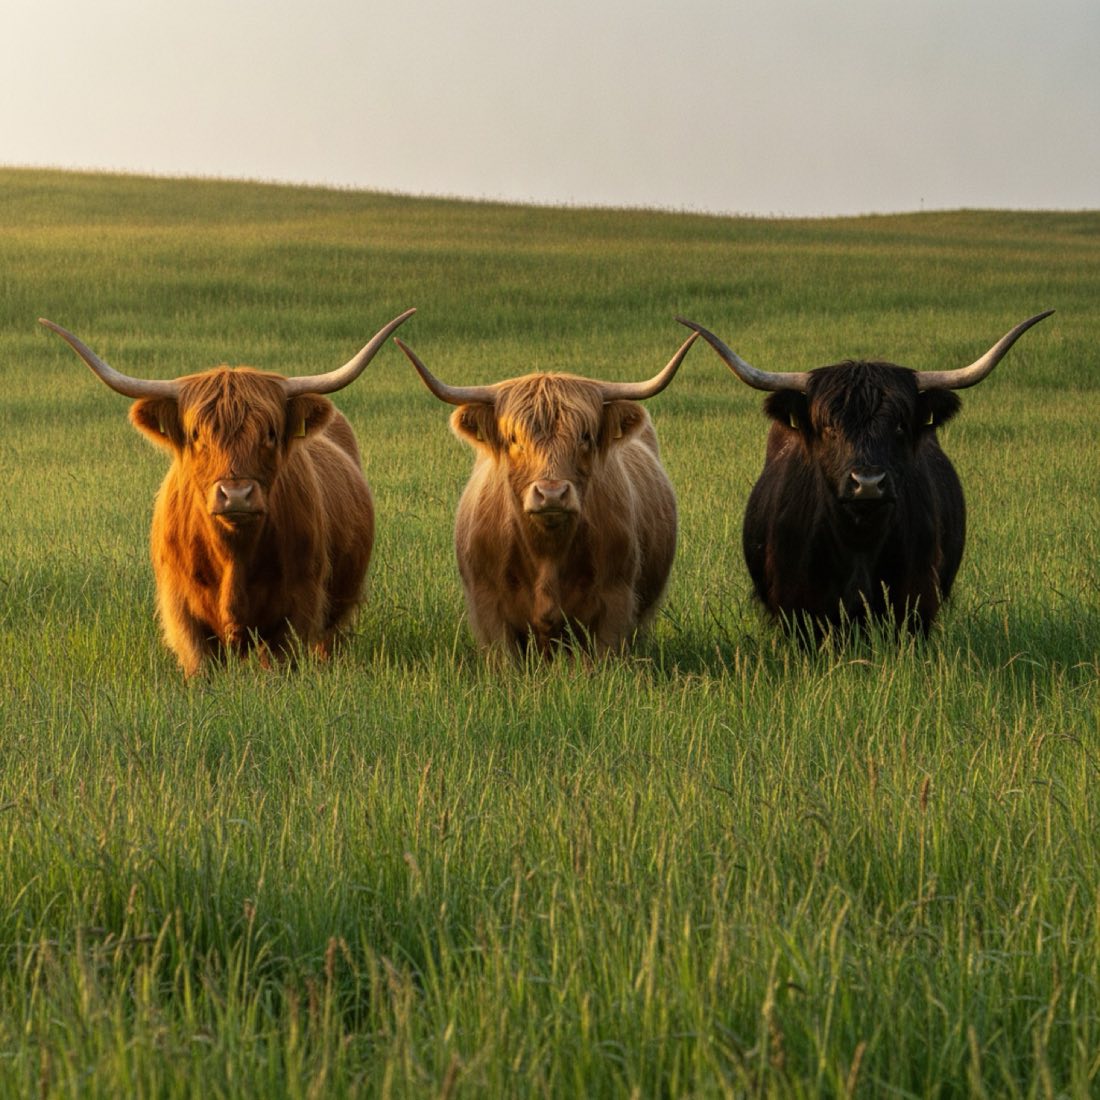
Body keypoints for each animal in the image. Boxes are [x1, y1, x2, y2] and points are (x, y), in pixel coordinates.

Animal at [40, 309, 415, 675]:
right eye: (196, 433)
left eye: (270, 432)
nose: (236, 495)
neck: (234, 555)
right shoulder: (183, 615)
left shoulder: (299, 607)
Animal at [393, 331, 699, 657]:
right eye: (514, 437)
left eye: (585, 436)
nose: (552, 494)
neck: (548, 553)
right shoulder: (489, 608)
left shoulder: (616, 603)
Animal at [678, 312, 1053, 637]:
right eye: (829, 426)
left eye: (899, 424)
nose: (868, 484)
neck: (858, 537)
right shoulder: (798, 609)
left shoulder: (915, 603)